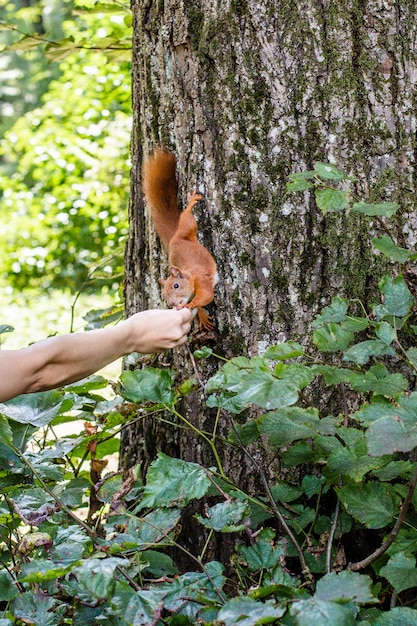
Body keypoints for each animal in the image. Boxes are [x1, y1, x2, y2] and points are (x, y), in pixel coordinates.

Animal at [142, 149, 218, 330]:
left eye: (176, 285)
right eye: (163, 294)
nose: (171, 303)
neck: (190, 276)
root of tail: (174, 238)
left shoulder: (202, 279)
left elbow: (206, 295)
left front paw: (188, 305)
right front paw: (202, 316)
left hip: (187, 227)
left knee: (187, 216)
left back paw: (191, 202)